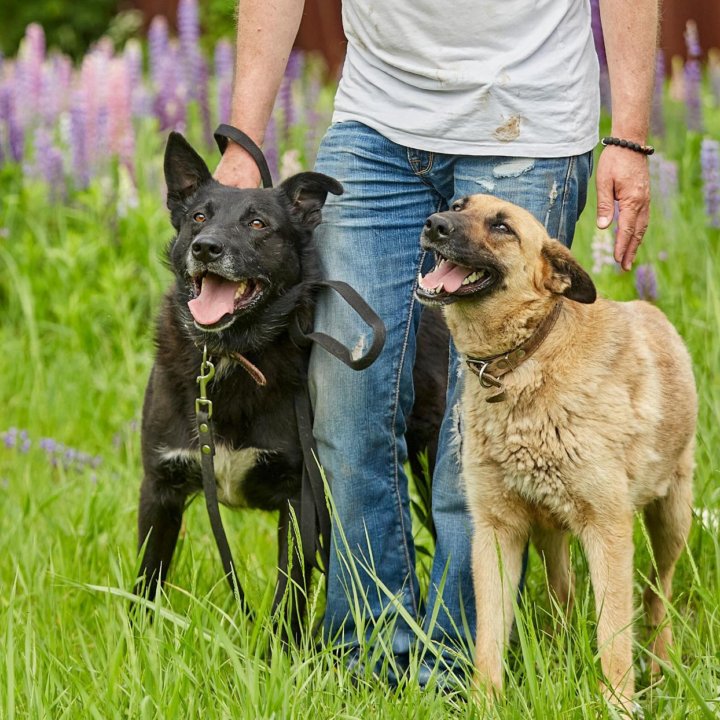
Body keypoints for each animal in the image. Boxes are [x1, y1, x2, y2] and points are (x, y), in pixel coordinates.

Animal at [136, 132, 444, 632]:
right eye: (199, 216)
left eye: (258, 223)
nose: (206, 248)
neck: (233, 355)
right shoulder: (160, 487)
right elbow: (144, 587)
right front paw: (138, 642)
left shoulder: (300, 500)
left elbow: (289, 595)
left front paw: (277, 649)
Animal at [416, 195, 696, 708]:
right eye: (459, 205)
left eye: (502, 227)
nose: (434, 224)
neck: (524, 359)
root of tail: (653, 312)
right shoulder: (496, 531)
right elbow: (489, 636)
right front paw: (486, 702)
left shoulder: (608, 530)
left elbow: (613, 637)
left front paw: (618, 704)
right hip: (550, 534)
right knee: (562, 596)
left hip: (671, 518)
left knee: (657, 593)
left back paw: (660, 665)